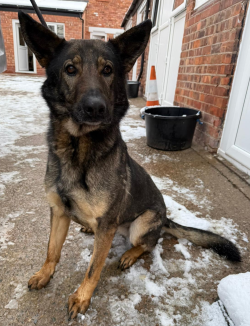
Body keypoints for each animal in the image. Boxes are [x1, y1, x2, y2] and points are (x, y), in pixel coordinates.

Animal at [18, 10, 241, 320]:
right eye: (70, 69)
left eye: (108, 70)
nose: (96, 108)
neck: (78, 148)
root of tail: (165, 218)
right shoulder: (59, 212)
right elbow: (52, 250)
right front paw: (44, 274)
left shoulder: (103, 226)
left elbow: (93, 268)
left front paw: (82, 297)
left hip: (141, 223)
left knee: (150, 244)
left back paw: (128, 254)